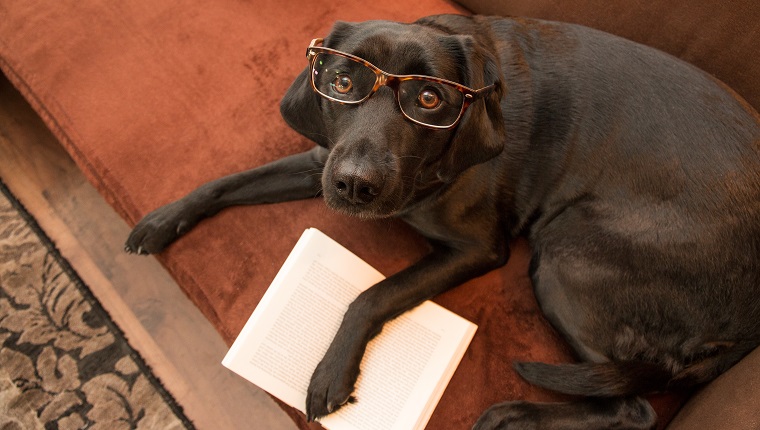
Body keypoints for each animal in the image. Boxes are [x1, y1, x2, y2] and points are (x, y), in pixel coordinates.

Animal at [126, 13, 760, 430]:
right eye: (342, 83)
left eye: (430, 99)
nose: (355, 185)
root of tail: (751, 323)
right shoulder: (320, 161)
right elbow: (225, 182)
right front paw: (162, 220)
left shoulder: (477, 249)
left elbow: (375, 295)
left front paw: (332, 371)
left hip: (564, 257)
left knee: (635, 406)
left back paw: (513, 414)